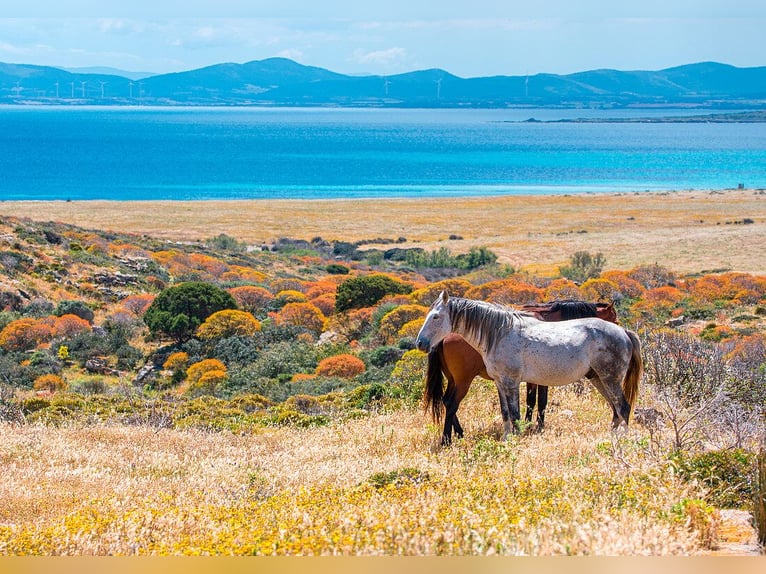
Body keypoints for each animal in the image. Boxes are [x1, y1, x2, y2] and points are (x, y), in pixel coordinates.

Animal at [416, 294, 644, 438]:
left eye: (436, 316)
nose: (420, 343)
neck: (500, 333)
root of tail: (624, 333)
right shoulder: (501, 383)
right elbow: (507, 412)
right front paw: (507, 438)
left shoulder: (513, 382)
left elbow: (520, 411)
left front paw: (520, 436)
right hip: (599, 379)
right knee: (616, 408)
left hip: (609, 379)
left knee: (622, 407)